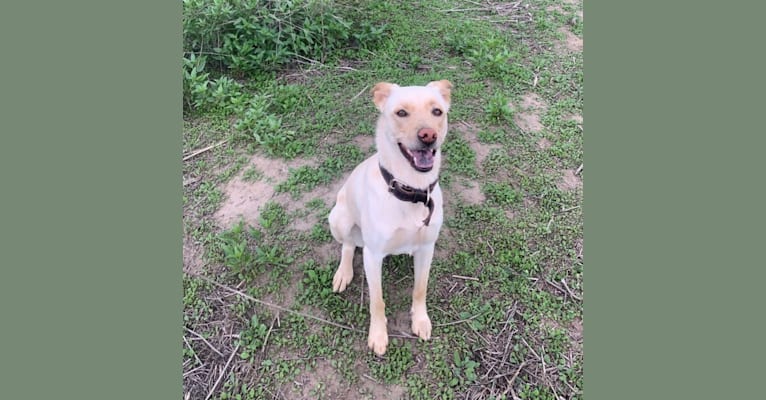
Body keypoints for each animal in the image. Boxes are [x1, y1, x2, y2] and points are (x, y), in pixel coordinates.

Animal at [328, 79, 452, 354]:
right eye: (401, 112)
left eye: (437, 111)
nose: (428, 136)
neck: (412, 190)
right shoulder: (373, 256)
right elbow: (377, 301)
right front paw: (378, 335)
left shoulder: (427, 247)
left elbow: (420, 289)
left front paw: (420, 320)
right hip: (339, 218)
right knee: (348, 245)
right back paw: (343, 273)